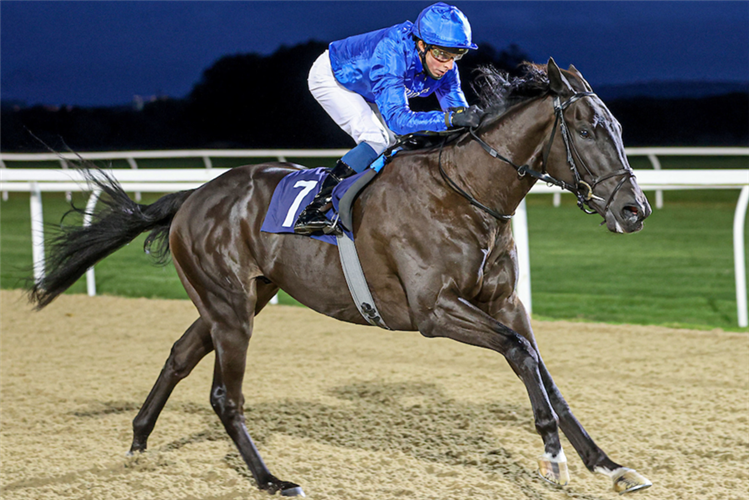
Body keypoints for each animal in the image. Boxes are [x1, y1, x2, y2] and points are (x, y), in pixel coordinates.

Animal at [27, 58, 648, 496]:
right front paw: (552, 459)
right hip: (230, 308)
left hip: (240, 298)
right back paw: (272, 480)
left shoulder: (504, 302)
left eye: (618, 126)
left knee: (180, 355)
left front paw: (607, 463)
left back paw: (137, 441)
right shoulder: (433, 311)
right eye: (588, 129)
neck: (465, 193)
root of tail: (191, 197)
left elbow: (543, 369)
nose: (634, 209)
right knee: (225, 395)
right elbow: (520, 352)